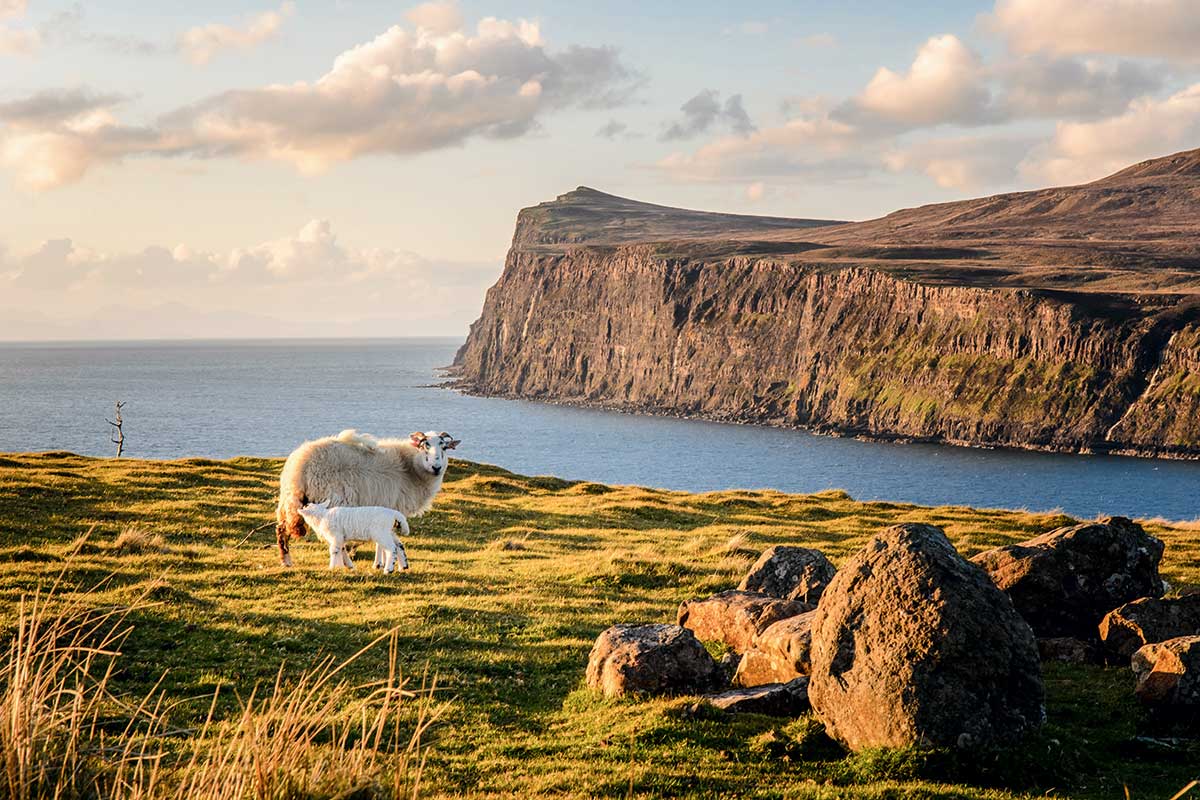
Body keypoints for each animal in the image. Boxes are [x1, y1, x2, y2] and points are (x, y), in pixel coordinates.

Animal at [274, 429, 460, 566]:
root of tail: (299, 467)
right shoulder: (388, 506)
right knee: (335, 540)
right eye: (425, 446)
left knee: (281, 528)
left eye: (444, 448)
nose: (436, 467)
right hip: (331, 499)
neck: (411, 471)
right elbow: (382, 540)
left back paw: (286, 561)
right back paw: (346, 564)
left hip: (291, 501)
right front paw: (379, 564)